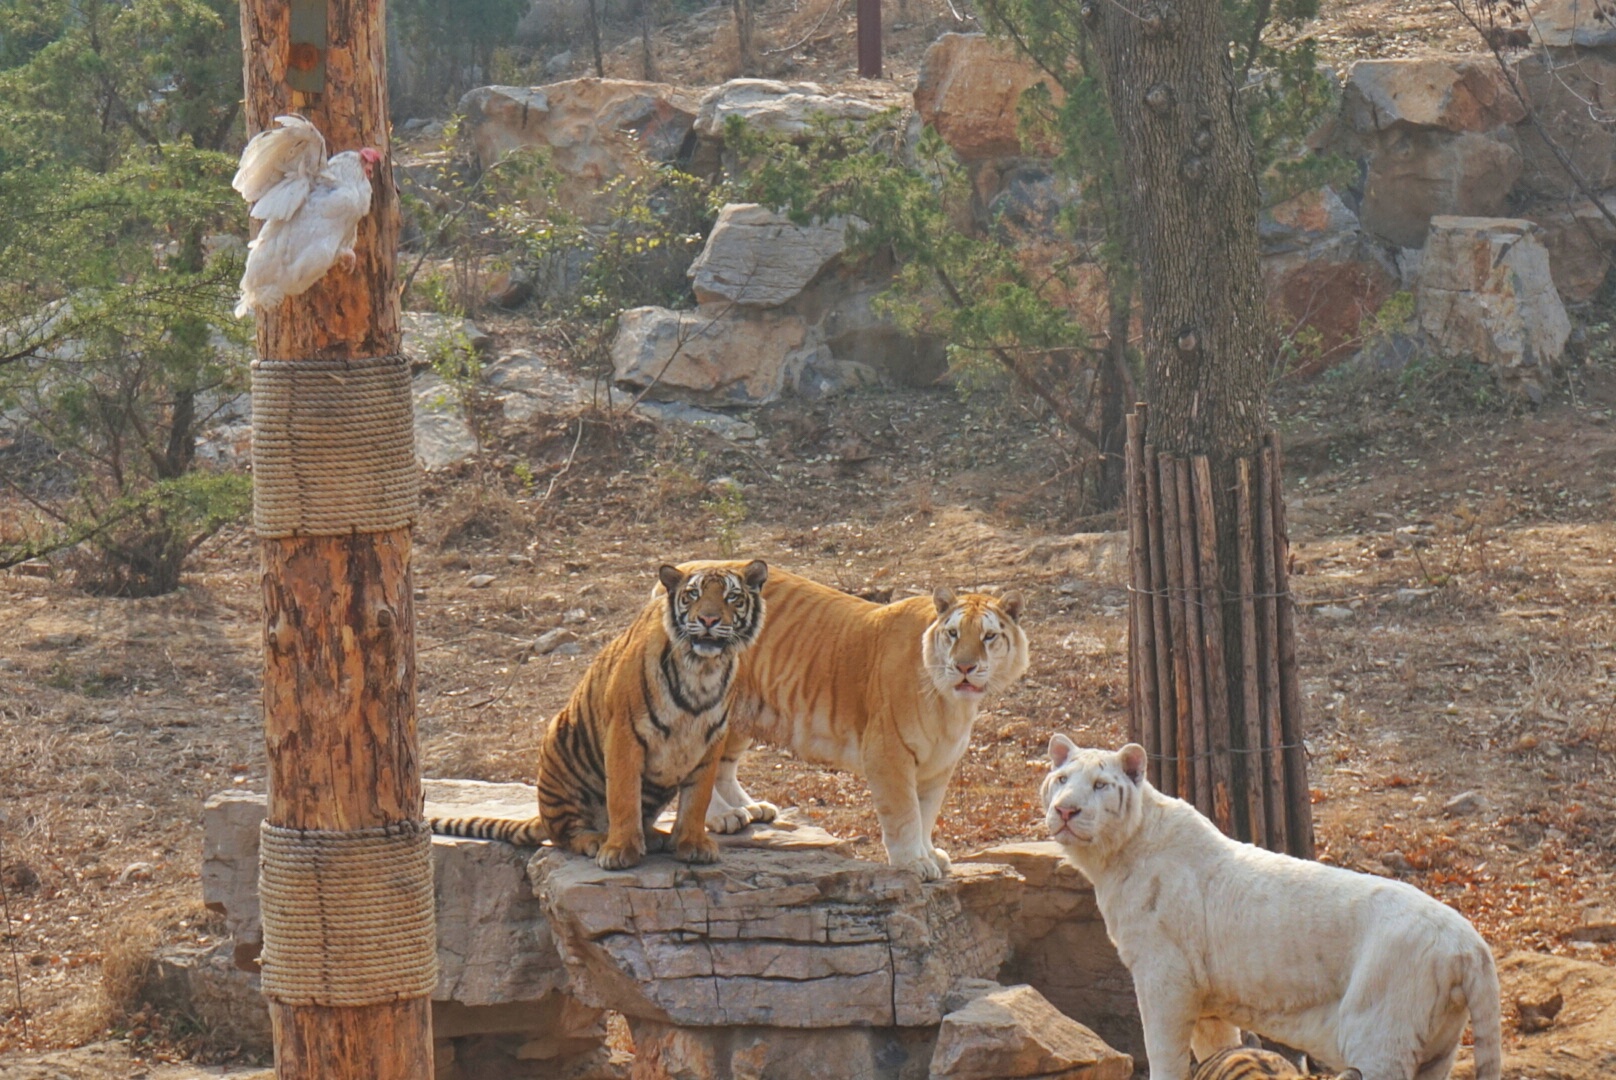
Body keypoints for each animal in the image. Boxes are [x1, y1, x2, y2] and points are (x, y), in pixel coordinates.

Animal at [429, 556, 769, 866]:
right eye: (693, 595)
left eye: (731, 597)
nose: (709, 620)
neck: (702, 669)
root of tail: (542, 815)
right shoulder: (624, 734)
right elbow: (623, 796)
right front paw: (619, 850)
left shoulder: (710, 738)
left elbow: (697, 798)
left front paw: (692, 844)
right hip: (559, 746)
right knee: (565, 833)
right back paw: (597, 839)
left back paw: (655, 837)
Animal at [1034, 737, 1499, 1080]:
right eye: (1061, 779)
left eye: (1100, 785)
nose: (1065, 810)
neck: (1111, 857)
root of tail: (1470, 944)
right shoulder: (1206, 1001)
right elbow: (1219, 1050)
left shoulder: (1164, 981)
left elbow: (1164, 1055)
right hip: (1437, 1050)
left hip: (1378, 1039)